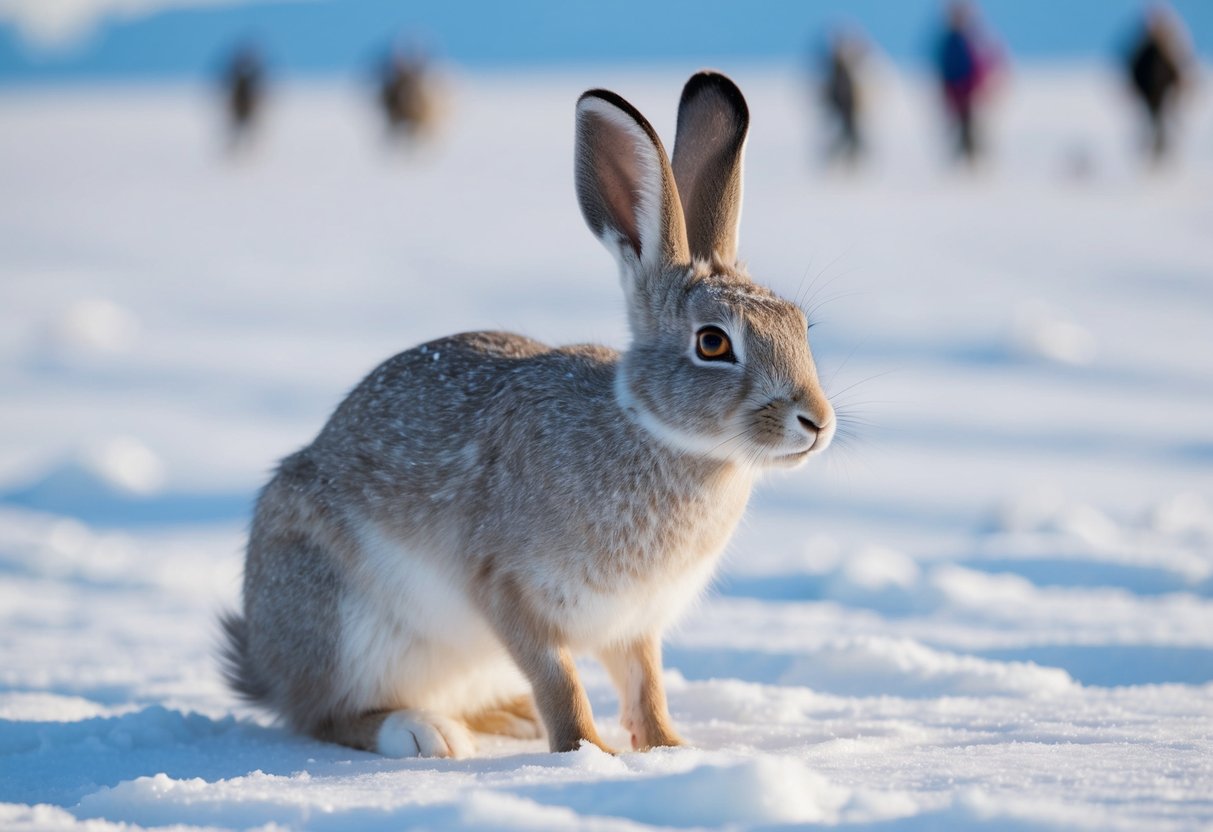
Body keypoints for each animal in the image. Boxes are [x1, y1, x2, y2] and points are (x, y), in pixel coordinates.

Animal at [220, 70, 835, 758]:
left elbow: (645, 685)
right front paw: (586, 753)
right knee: (322, 713)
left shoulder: (634, 624)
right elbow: (558, 679)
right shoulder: (508, 588)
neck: (656, 434)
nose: (816, 422)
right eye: (712, 343)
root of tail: (264, 663)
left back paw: (508, 718)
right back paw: (423, 732)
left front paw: (670, 749)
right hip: (344, 622)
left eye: (800, 326)